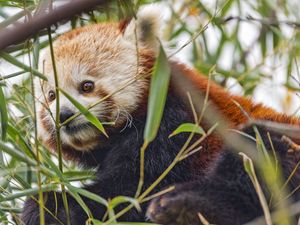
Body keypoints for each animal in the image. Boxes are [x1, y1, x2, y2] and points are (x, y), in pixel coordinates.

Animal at [21, 4, 300, 225]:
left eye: (86, 86)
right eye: (51, 96)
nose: (64, 115)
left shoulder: (175, 128)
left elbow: (128, 193)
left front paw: (52, 206)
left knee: (258, 155)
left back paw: (187, 206)